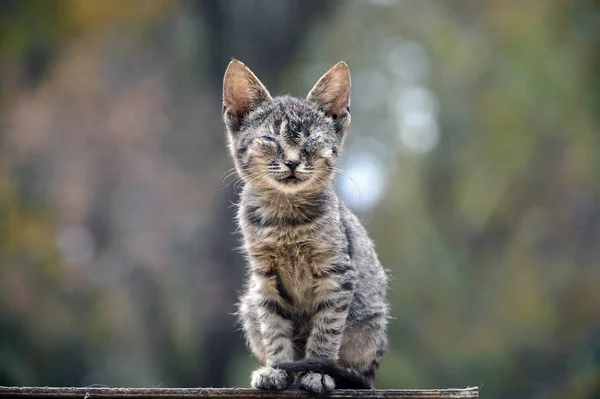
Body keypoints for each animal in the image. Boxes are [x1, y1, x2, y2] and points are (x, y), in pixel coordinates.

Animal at [221, 59, 390, 394]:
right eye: (269, 139)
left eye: (313, 140)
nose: (291, 162)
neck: (286, 218)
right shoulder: (264, 277)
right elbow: (273, 327)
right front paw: (276, 370)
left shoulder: (337, 272)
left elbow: (326, 329)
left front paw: (316, 371)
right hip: (248, 304)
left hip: (371, 321)